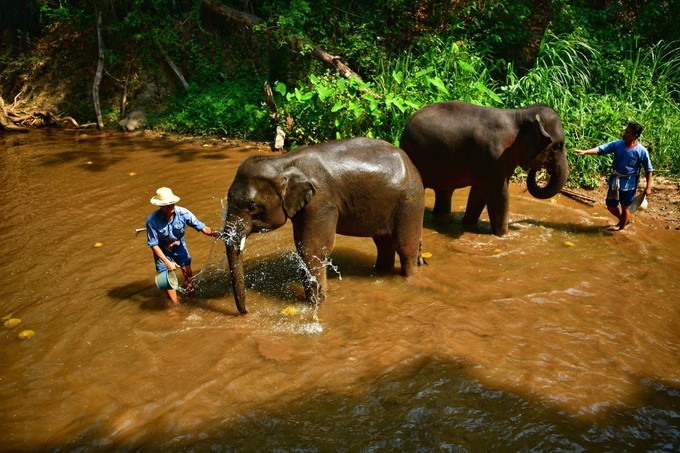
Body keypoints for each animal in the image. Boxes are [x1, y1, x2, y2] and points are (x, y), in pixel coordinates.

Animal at [223, 137, 424, 314]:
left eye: (252, 206)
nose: (246, 311)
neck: (283, 163)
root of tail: (411, 163)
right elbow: (303, 247)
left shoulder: (320, 202)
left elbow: (313, 250)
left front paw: (317, 304)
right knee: (383, 244)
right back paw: (380, 273)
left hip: (409, 203)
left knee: (405, 247)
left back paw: (409, 277)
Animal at [398, 100, 568, 235]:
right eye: (557, 146)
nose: (537, 170)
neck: (518, 115)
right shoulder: (492, 155)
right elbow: (498, 194)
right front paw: (502, 236)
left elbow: (479, 192)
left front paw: (468, 225)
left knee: (444, 192)